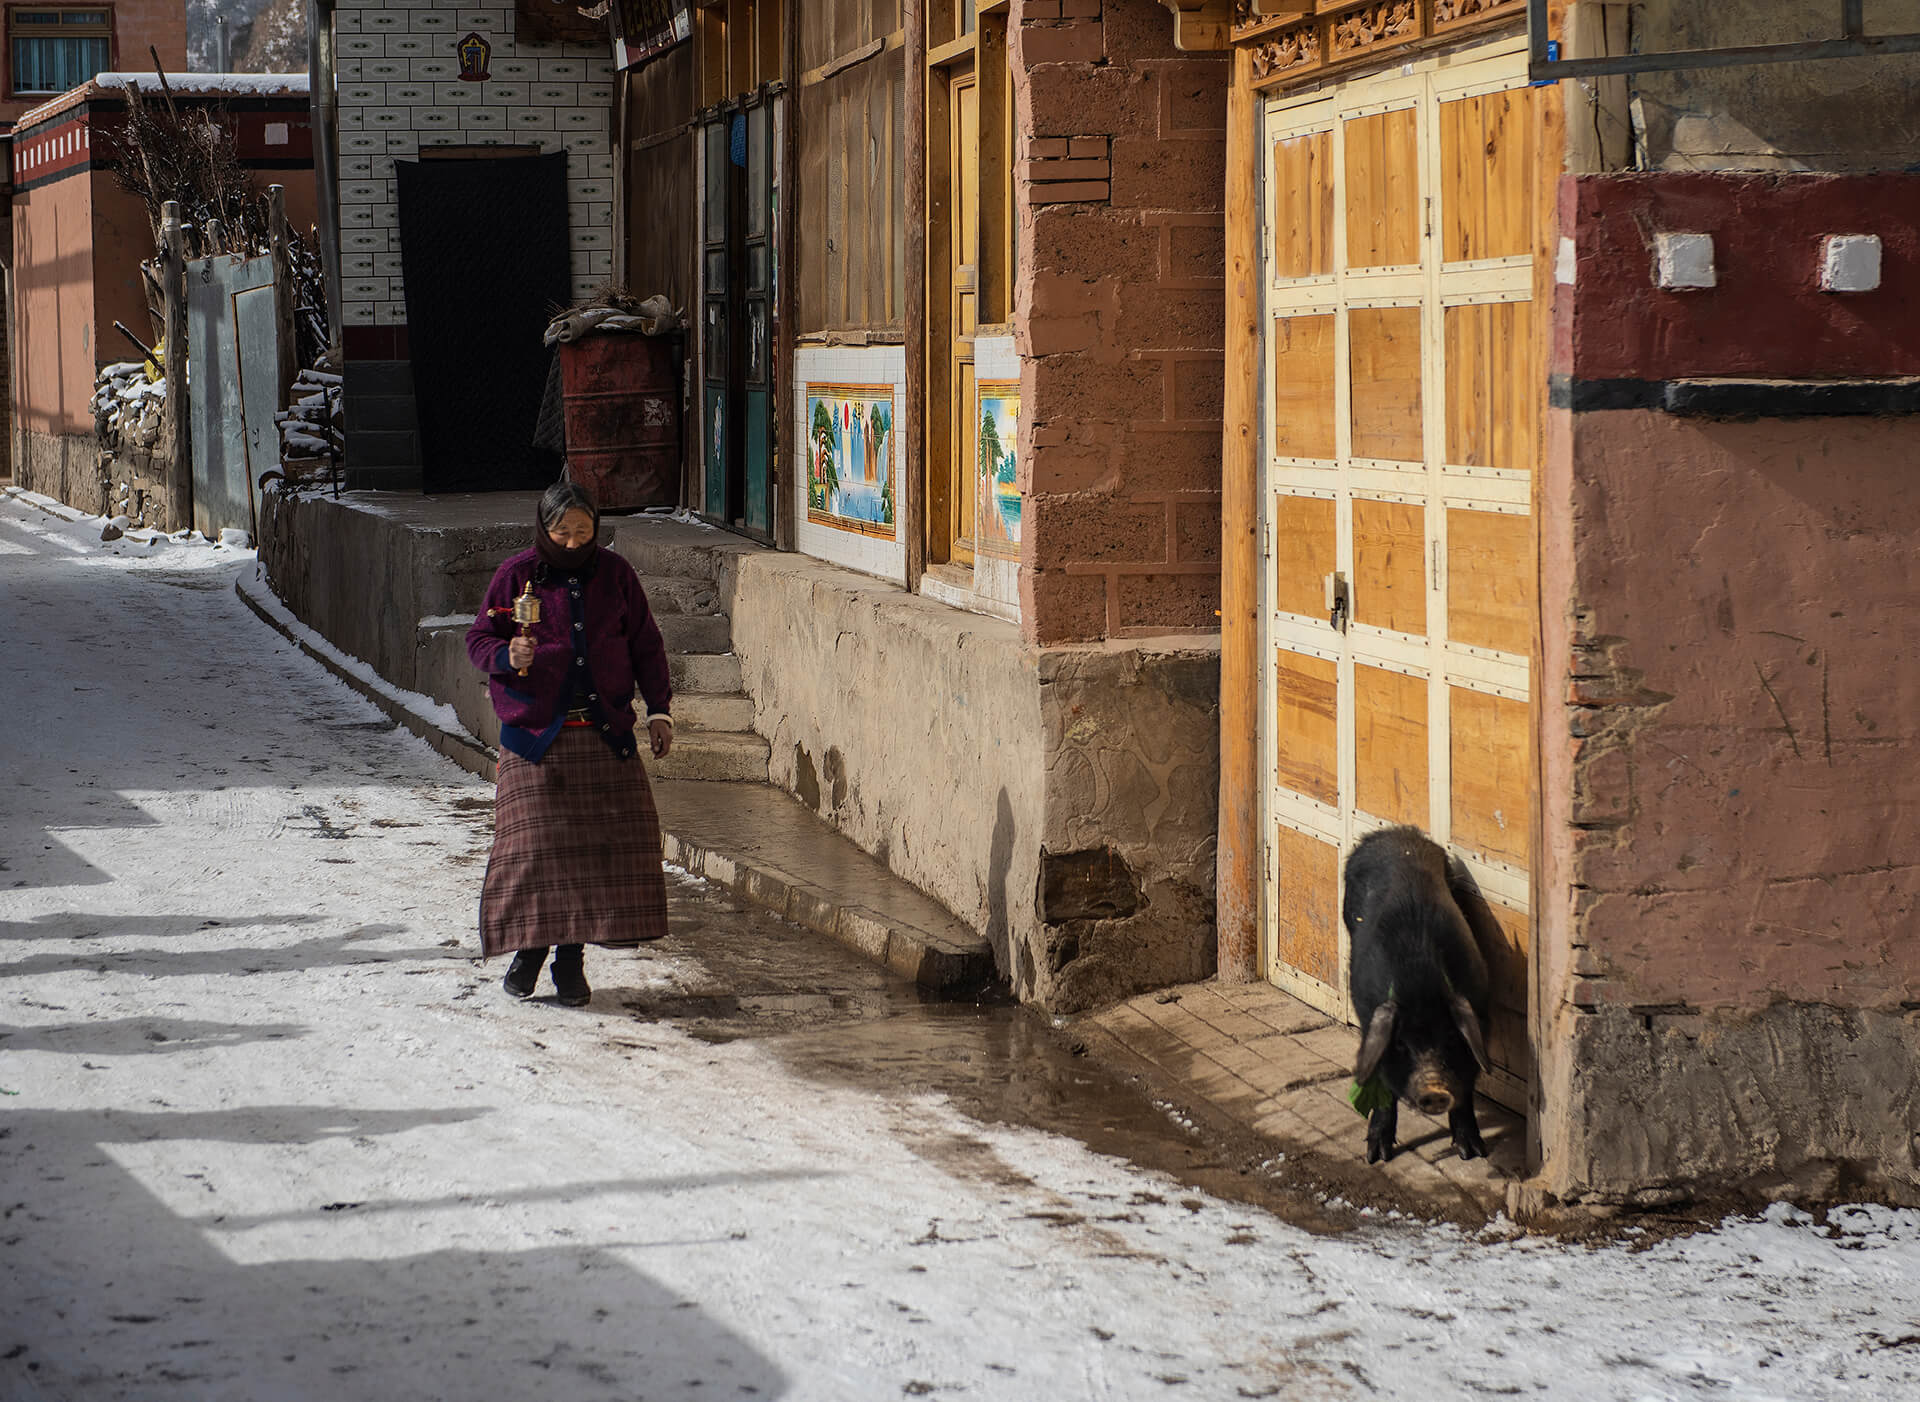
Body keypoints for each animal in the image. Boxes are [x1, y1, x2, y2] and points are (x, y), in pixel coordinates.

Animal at [1344, 825, 1489, 1160]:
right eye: (1400, 1043)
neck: (1418, 984)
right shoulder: (1371, 1017)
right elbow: (1382, 1083)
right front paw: (1377, 1156)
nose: (1433, 1089)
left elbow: (1467, 1083)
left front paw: (1473, 1152)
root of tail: (1394, 833)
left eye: (1450, 1038)